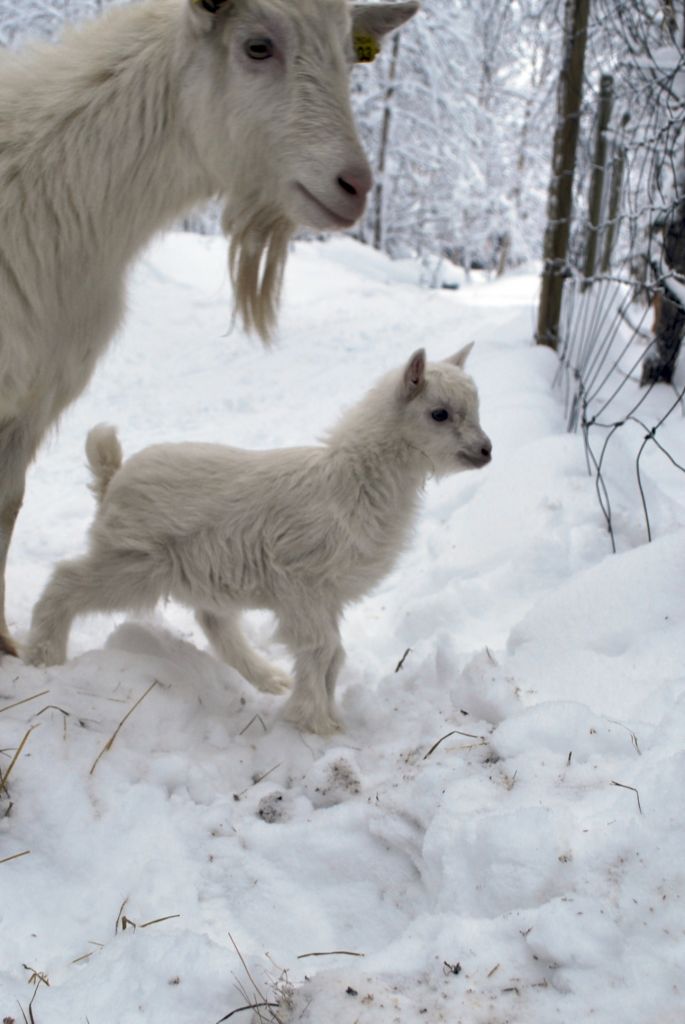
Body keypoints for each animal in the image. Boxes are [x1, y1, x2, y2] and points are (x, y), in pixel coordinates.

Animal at [24, 347, 492, 735]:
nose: (487, 451)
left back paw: (268, 677)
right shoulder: (303, 586)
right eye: (439, 414)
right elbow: (322, 649)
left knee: (214, 622)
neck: (354, 479)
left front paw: (326, 713)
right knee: (65, 581)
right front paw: (315, 721)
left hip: (200, 570)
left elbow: (335, 654)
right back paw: (44, 656)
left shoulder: (327, 595)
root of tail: (112, 476)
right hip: (133, 561)